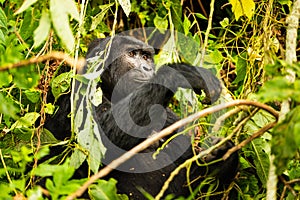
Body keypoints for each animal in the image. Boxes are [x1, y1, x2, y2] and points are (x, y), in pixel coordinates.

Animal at [44, 35, 239, 198]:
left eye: (145, 57)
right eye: (132, 54)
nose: (147, 67)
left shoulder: (170, 117)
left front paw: (222, 154)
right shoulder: (77, 87)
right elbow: (97, 143)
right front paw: (177, 73)